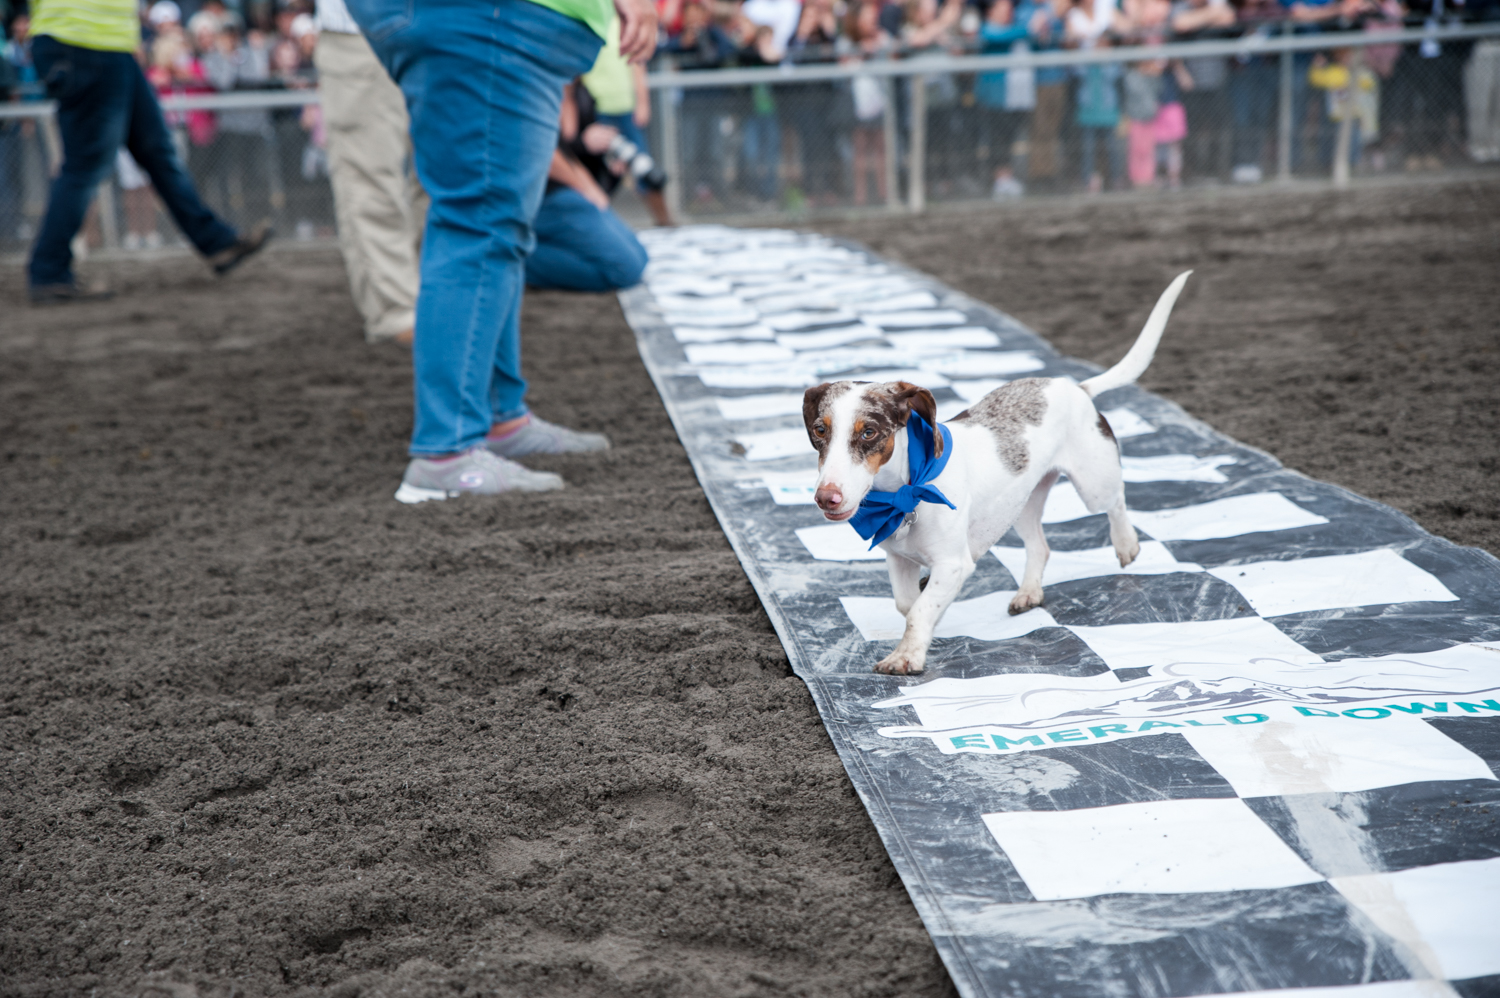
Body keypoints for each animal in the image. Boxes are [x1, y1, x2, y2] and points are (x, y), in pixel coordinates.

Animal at [804, 270, 1188, 669]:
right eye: (819, 430)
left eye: (869, 432)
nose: (826, 498)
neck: (906, 492)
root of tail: (1075, 387)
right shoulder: (899, 561)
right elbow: (910, 606)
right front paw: (921, 636)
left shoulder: (954, 564)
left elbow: (920, 611)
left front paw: (905, 657)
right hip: (1021, 503)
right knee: (1040, 547)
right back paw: (1029, 592)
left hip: (1093, 485)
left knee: (1117, 499)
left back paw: (1126, 543)